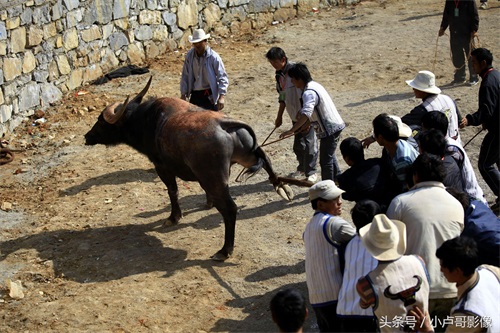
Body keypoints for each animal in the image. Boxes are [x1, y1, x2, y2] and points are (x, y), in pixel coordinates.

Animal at [83, 77, 292, 260]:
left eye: (100, 121)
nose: (87, 136)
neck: (148, 121)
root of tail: (225, 124)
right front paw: (206, 203)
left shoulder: (162, 167)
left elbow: (172, 191)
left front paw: (173, 217)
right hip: (248, 157)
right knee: (266, 160)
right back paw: (281, 186)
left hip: (217, 180)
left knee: (230, 209)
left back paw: (224, 251)